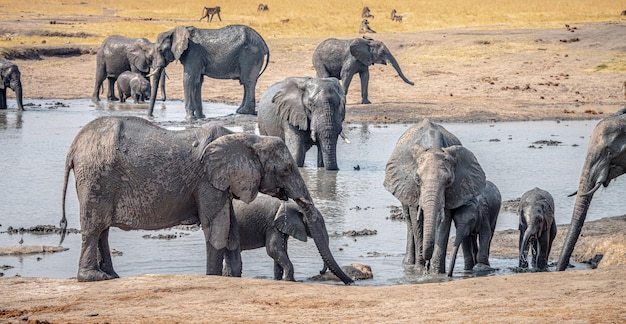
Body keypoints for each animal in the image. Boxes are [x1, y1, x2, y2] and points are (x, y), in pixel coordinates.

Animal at [58, 116, 352, 284]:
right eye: (287, 169)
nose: (350, 283)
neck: (248, 139)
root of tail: (73, 146)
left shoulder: (221, 182)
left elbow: (231, 230)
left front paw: (233, 277)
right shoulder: (207, 180)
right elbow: (217, 229)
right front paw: (213, 276)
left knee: (103, 230)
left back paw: (111, 276)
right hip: (96, 177)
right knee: (94, 226)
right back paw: (93, 278)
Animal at [382, 119, 486, 274]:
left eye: (449, 182)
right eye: (417, 179)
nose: (426, 263)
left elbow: (444, 220)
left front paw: (436, 273)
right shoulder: (411, 186)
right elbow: (416, 219)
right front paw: (419, 270)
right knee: (409, 220)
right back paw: (408, 264)